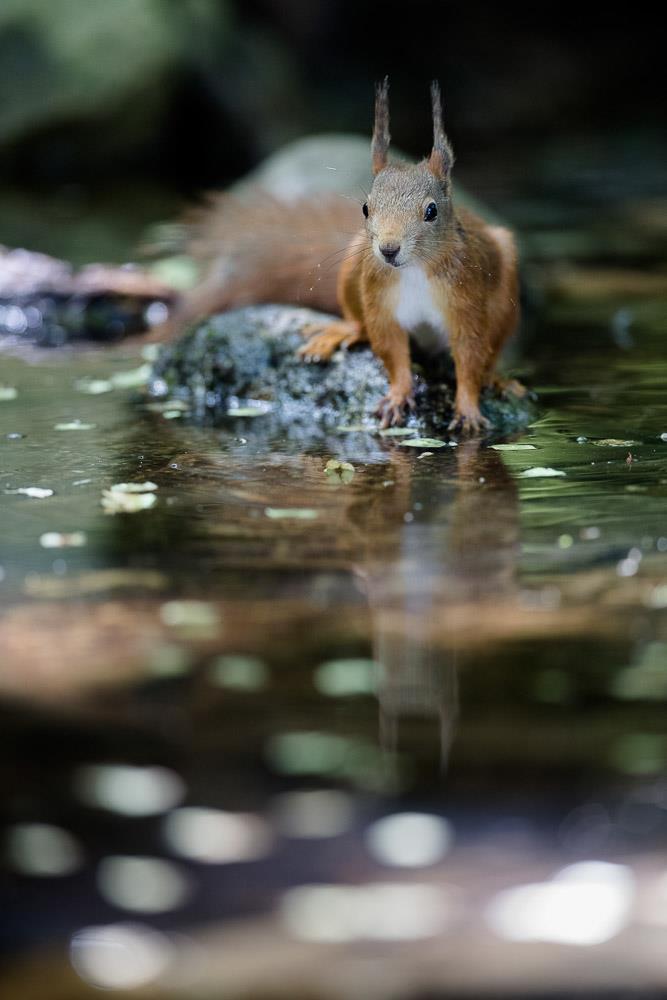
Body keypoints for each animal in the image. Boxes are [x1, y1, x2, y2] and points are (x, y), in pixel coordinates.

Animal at [155, 80, 520, 432]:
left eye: (431, 211)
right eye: (366, 208)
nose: (388, 249)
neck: (414, 270)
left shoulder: (465, 299)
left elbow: (470, 354)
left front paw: (468, 407)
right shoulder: (379, 300)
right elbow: (390, 349)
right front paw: (398, 393)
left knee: (490, 350)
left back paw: (497, 379)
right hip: (352, 266)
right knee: (361, 323)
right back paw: (342, 332)